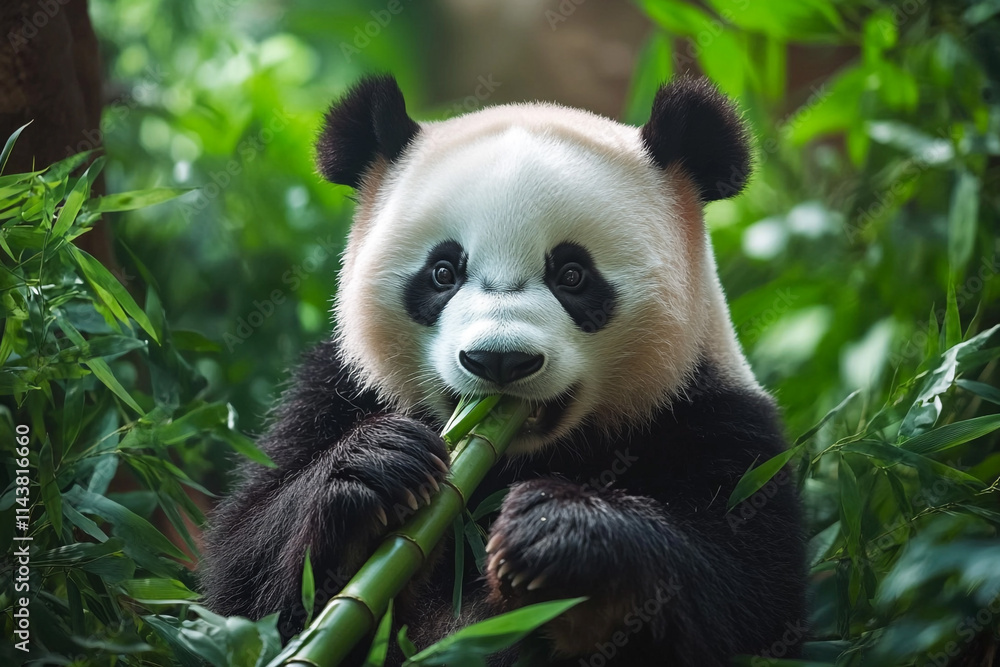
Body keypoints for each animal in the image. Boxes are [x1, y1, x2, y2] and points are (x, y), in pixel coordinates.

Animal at [200, 74, 806, 667]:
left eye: (572, 274)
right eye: (443, 272)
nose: (499, 360)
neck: (516, 459)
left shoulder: (712, 417)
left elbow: (748, 593)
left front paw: (558, 535)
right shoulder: (332, 391)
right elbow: (243, 580)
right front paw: (376, 467)